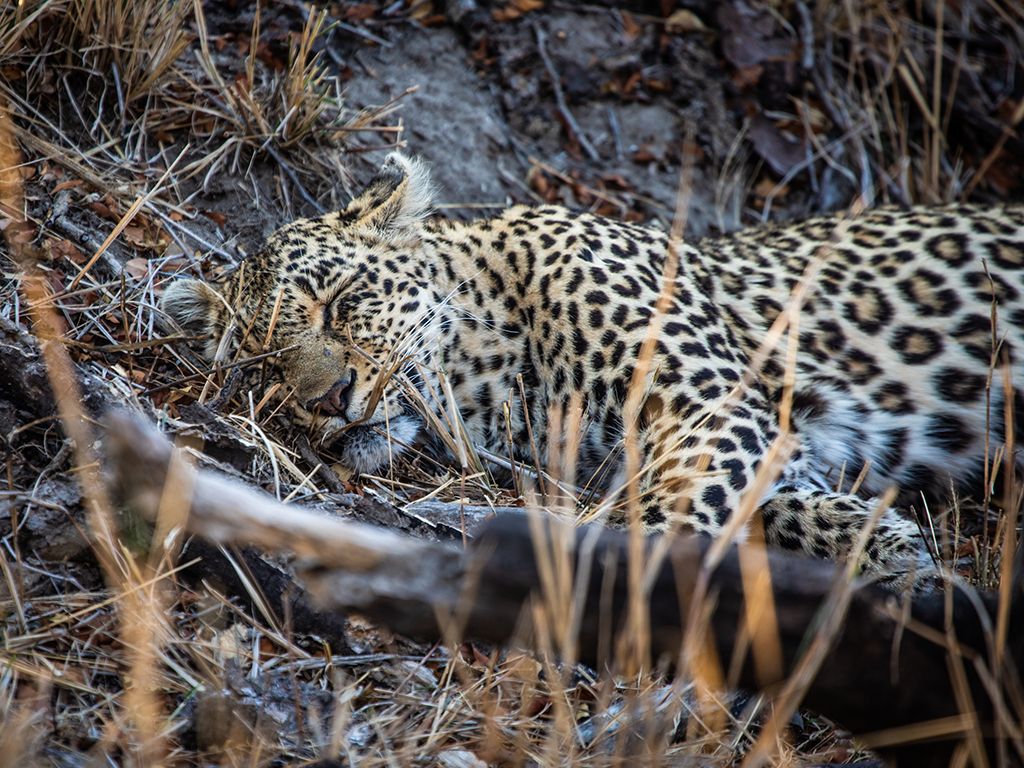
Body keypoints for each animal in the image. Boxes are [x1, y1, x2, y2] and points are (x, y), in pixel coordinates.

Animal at [162, 153, 1024, 590]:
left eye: (342, 301)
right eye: (263, 363)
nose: (330, 399)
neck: (498, 375)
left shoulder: (713, 407)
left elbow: (676, 518)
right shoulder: (758, 438)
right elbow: (772, 501)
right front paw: (887, 545)